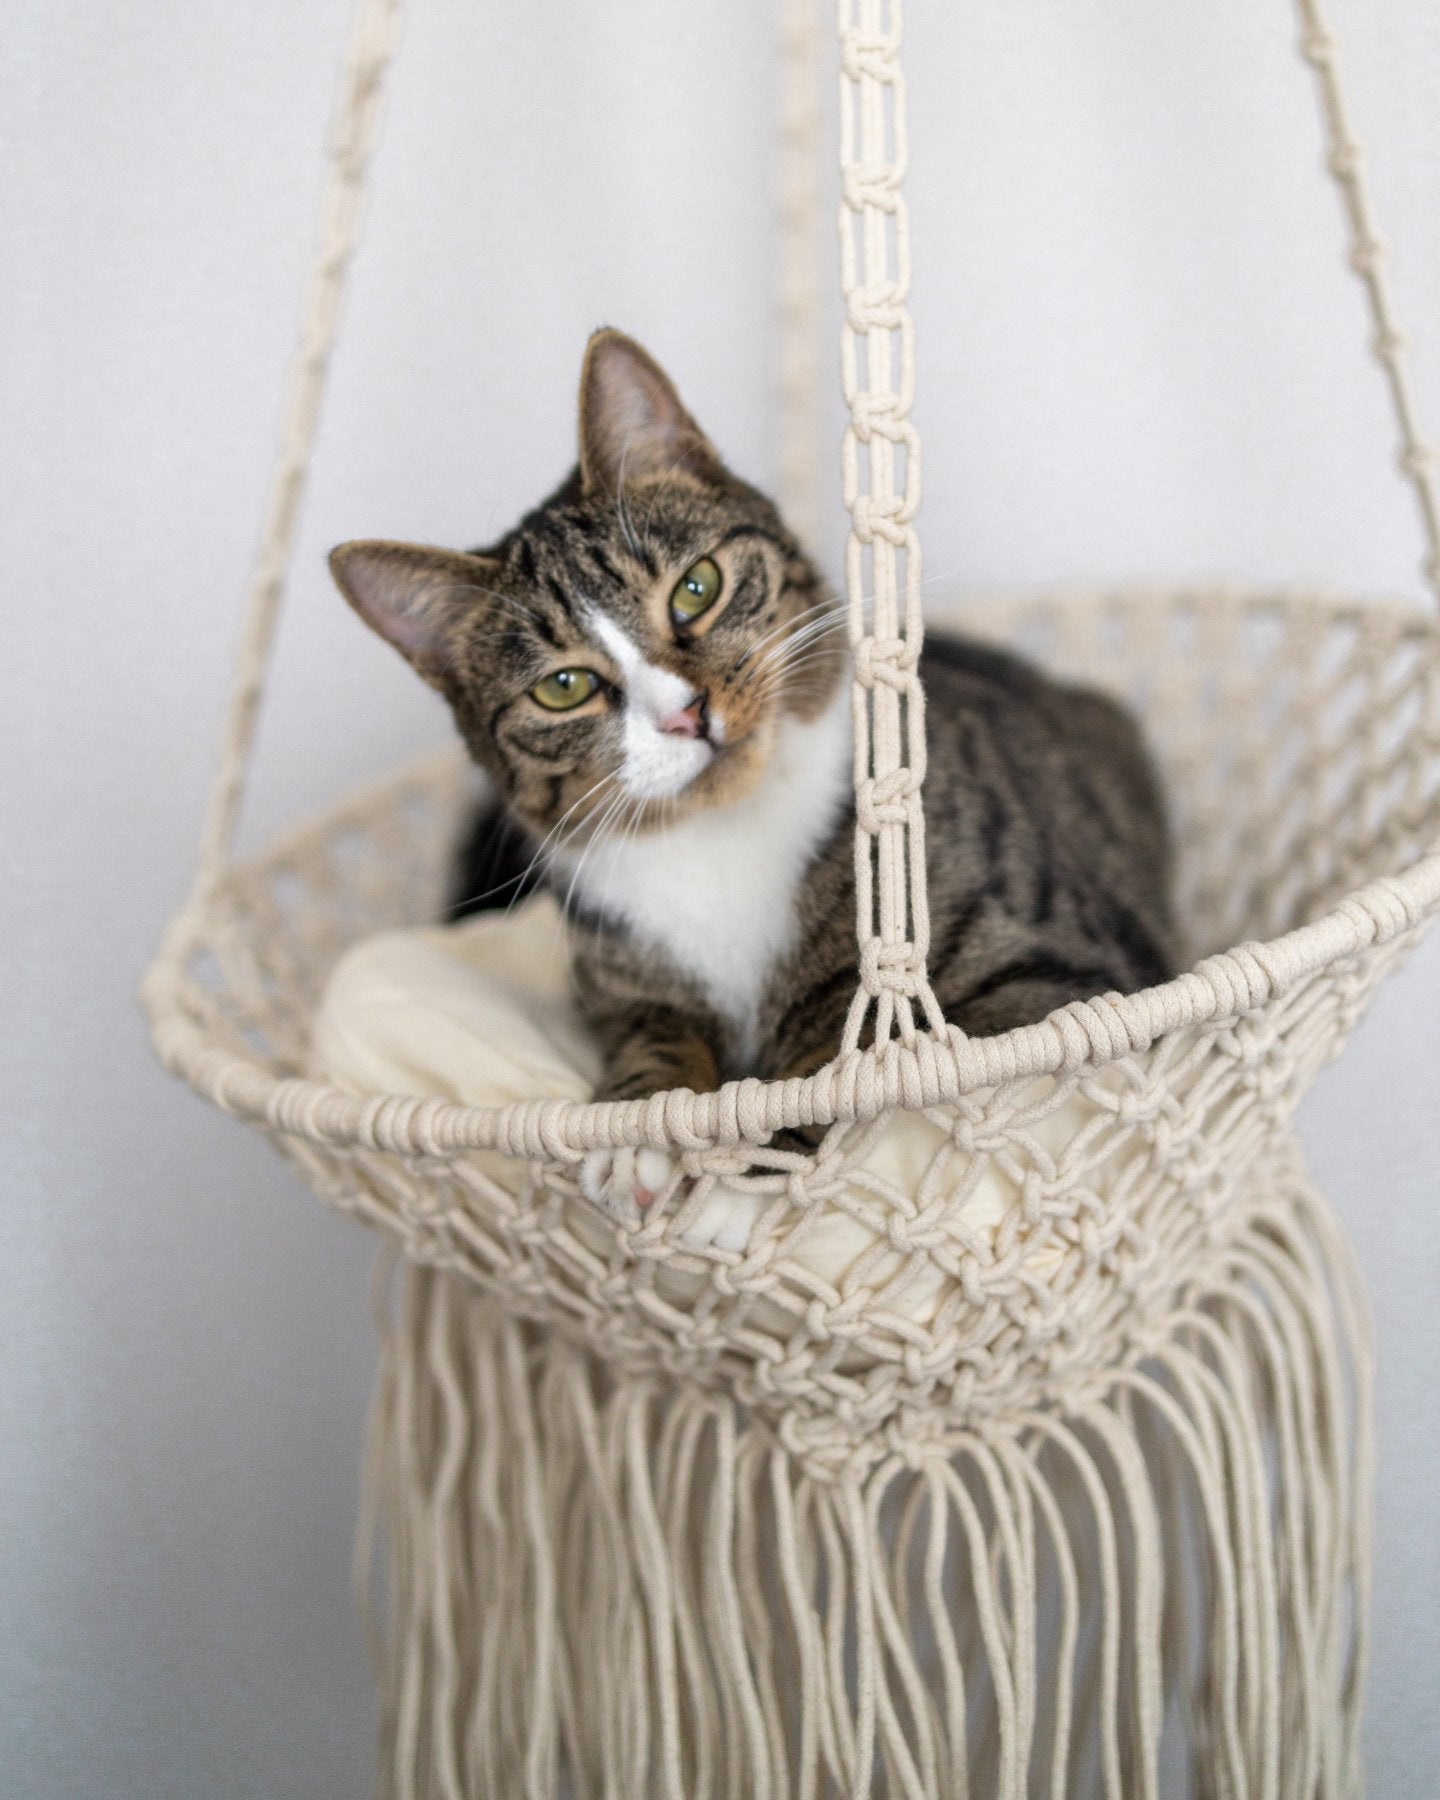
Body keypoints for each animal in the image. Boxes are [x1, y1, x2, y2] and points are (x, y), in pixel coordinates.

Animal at [325, 329, 1166, 1216]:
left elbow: (859, 1052)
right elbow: (653, 1035)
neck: (722, 840)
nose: (685, 714)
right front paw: (641, 1126)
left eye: (697, 587)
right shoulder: (620, 980)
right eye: (564, 687)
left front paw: (757, 1171)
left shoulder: (1047, 971)